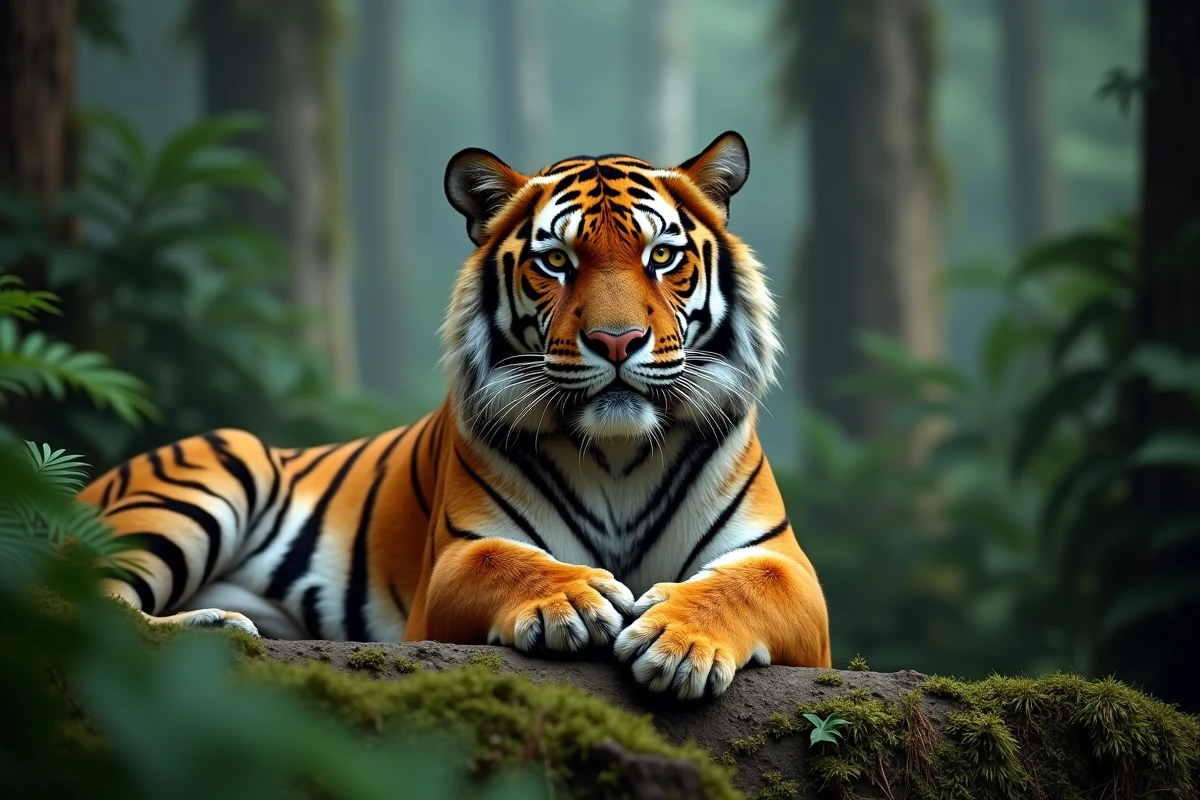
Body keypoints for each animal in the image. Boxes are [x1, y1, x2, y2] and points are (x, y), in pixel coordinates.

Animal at [77, 131, 831, 699]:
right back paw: (218, 628)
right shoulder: (454, 560)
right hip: (207, 475)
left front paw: (678, 641)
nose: (616, 341)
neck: (617, 453)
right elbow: (507, 561)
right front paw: (576, 600)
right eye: (555, 262)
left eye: (662, 256)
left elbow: (743, 586)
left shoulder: (785, 565)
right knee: (84, 597)